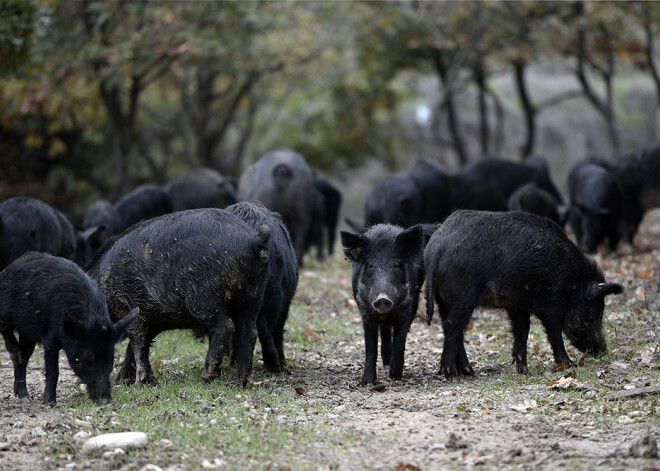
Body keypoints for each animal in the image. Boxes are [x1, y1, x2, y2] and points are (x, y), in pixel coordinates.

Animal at [0, 253, 136, 404]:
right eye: (89, 354)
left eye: (111, 356)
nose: (105, 399)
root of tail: (9, 267)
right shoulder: (49, 338)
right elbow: (53, 371)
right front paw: (49, 404)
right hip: (6, 312)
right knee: (7, 333)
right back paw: (15, 355)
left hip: (28, 333)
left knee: (24, 359)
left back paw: (24, 397)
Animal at [87, 210, 270, 388]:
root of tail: (254, 240)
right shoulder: (151, 319)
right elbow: (135, 347)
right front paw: (122, 381)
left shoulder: (128, 306)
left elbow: (137, 341)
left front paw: (143, 382)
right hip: (253, 297)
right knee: (249, 332)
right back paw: (240, 382)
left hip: (205, 297)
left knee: (226, 326)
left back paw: (207, 377)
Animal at [342, 226, 426, 388]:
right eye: (371, 265)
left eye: (395, 265)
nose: (382, 298)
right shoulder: (366, 312)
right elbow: (370, 347)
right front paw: (369, 383)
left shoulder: (406, 308)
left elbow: (400, 341)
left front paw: (395, 375)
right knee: (385, 331)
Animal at [426, 212, 620, 378]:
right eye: (592, 313)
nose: (603, 350)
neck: (572, 282)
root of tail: (437, 246)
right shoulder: (551, 304)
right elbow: (554, 333)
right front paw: (569, 365)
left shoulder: (517, 306)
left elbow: (522, 332)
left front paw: (524, 371)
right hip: (464, 296)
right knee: (452, 326)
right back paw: (451, 372)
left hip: (444, 300)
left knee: (451, 327)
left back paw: (469, 371)